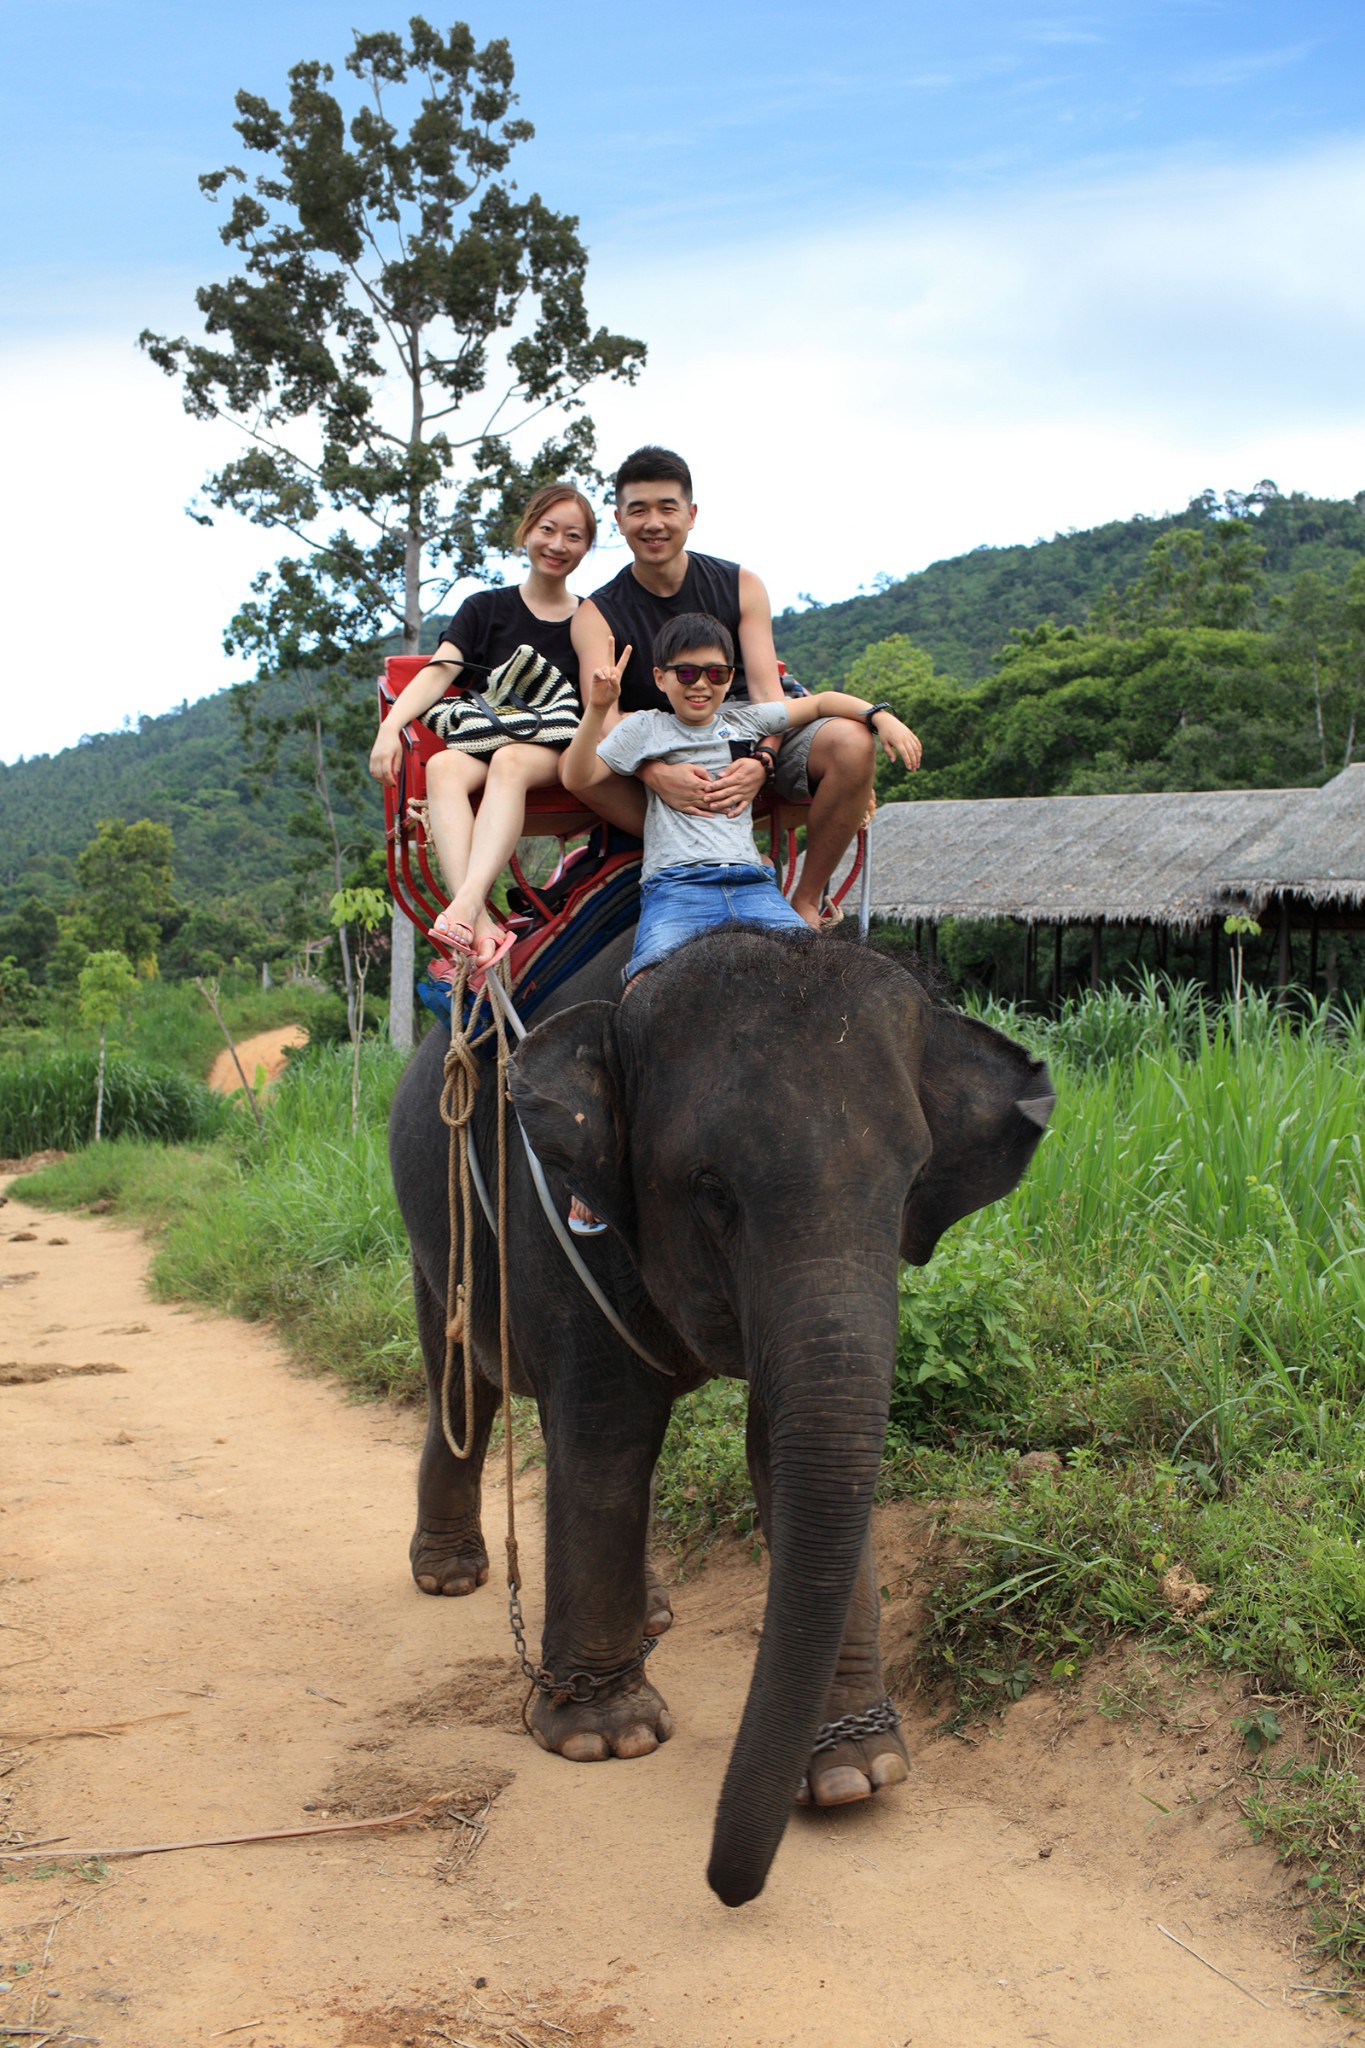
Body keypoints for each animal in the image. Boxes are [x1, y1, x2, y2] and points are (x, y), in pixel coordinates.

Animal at [388, 929, 1055, 1900]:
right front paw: (606, 1739)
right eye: (711, 1189)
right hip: (432, 1222)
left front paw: (859, 1775)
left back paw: (654, 1614)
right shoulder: (551, 1209)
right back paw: (449, 1576)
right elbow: (607, 1430)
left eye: (910, 1184)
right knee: (464, 1380)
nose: (726, 1884)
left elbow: (783, 1448)